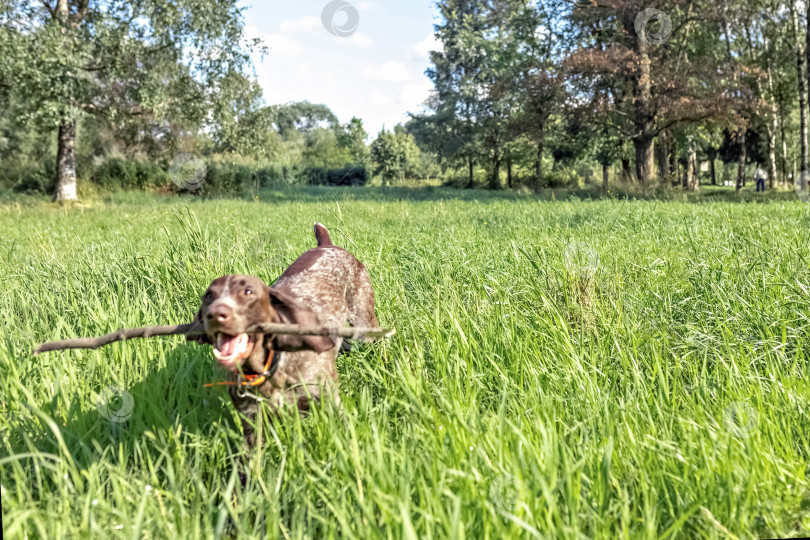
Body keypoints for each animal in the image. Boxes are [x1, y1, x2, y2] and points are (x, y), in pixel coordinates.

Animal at [191, 221, 378, 446]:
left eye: (248, 292)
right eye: (209, 296)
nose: (217, 314)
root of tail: (328, 245)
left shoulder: (329, 399)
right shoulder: (252, 423)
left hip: (363, 321)